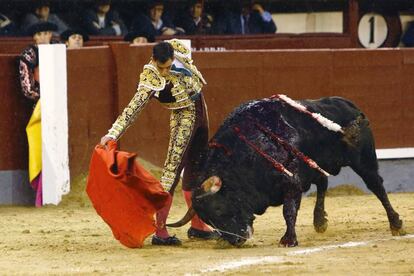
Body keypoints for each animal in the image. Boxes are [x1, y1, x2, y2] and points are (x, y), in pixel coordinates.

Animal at [167, 96, 404, 247]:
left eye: (218, 209)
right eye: (207, 219)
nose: (236, 240)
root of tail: (349, 105)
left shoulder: (291, 183)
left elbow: (288, 211)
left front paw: (289, 240)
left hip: (363, 161)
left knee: (376, 186)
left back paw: (396, 224)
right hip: (316, 166)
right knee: (323, 183)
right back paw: (320, 221)